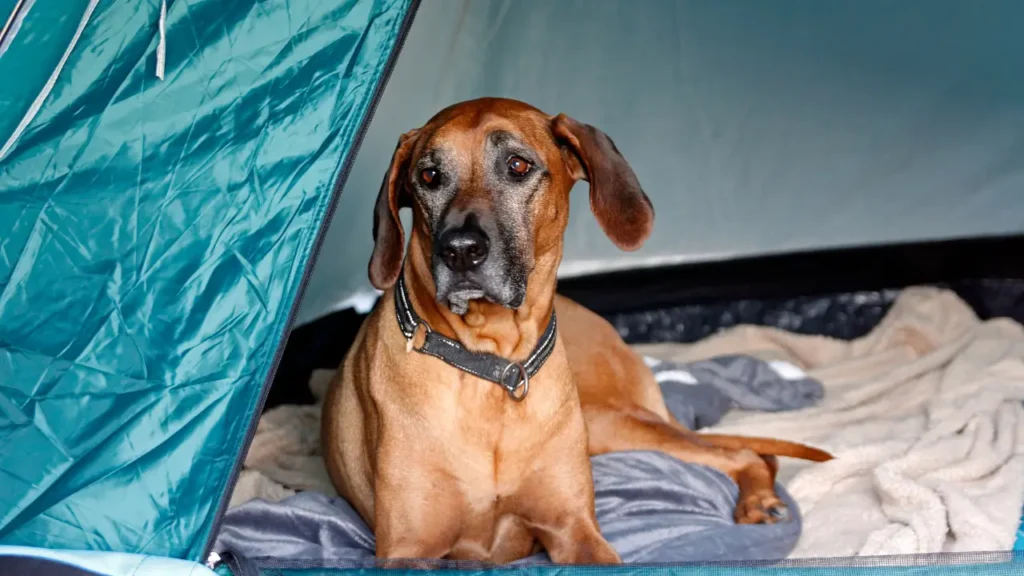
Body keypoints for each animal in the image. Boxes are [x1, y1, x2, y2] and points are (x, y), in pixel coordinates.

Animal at [319, 96, 831, 561]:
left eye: (518, 165)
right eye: (428, 177)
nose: (459, 250)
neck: (493, 366)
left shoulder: (573, 528)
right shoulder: (407, 549)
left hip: (609, 424)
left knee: (740, 453)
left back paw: (760, 501)